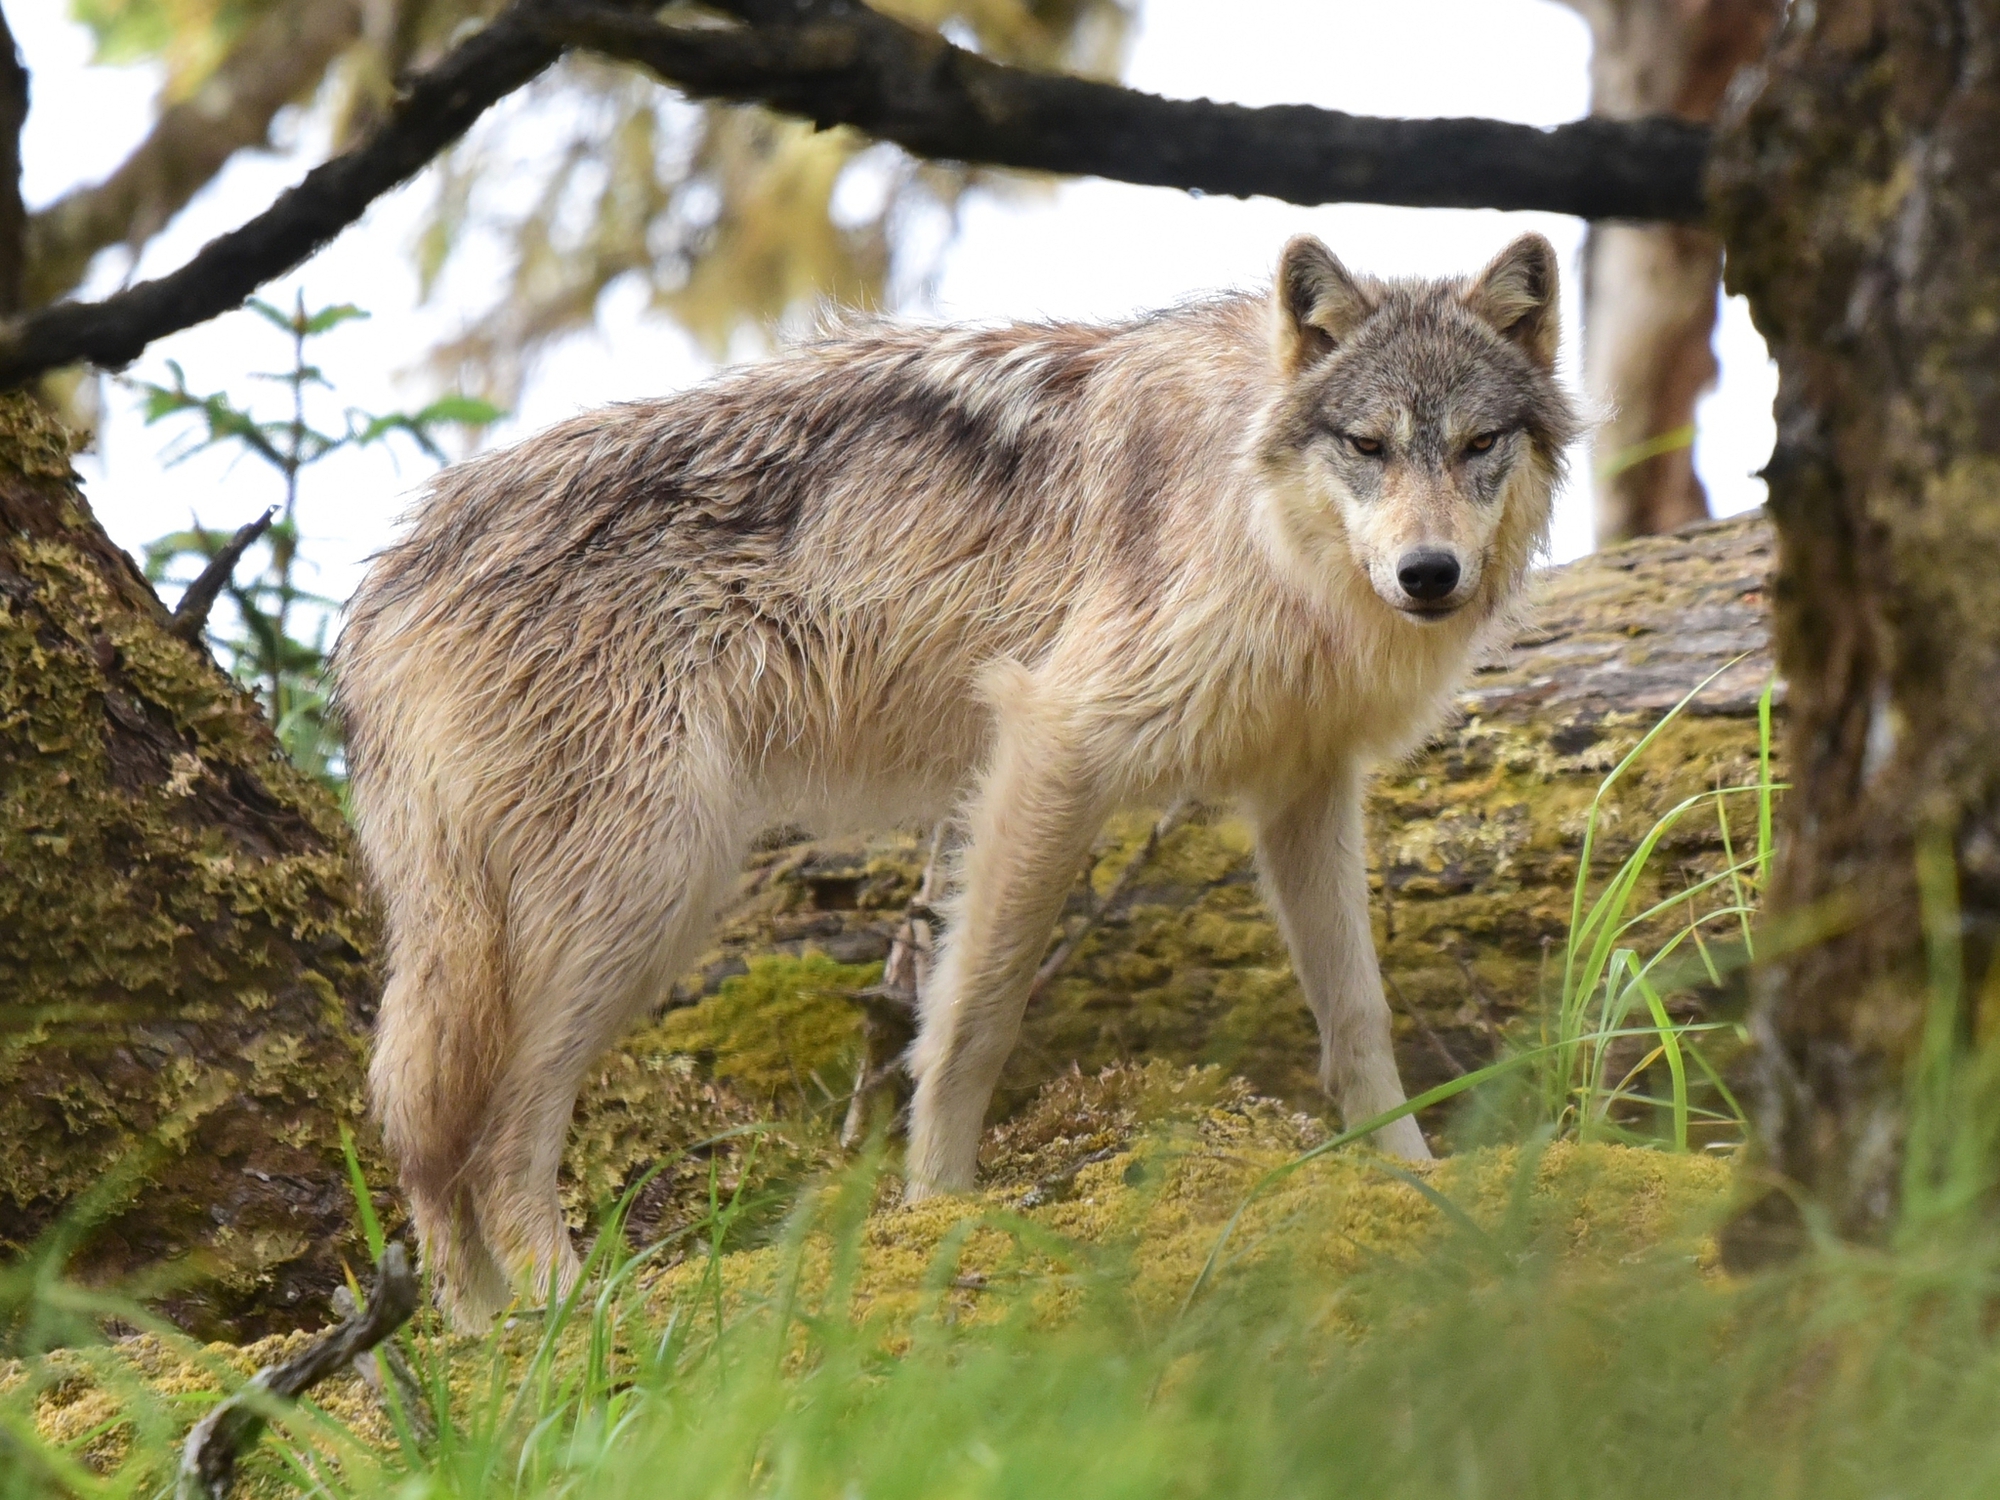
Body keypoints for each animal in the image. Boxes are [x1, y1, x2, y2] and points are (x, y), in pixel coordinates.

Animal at [340, 232, 1576, 1328]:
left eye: (1477, 444)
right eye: (1367, 445)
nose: (1429, 574)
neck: (1255, 524)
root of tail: (386, 582)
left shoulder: (1306, 786)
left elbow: (1358, 1018)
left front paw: (1414, 1180)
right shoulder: (1051, 744)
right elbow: (975, 1014)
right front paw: (939, 1206)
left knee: (425, 1130)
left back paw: (474, 1329)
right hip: (648, 894)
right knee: (491, 1134)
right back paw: (566, 1309)